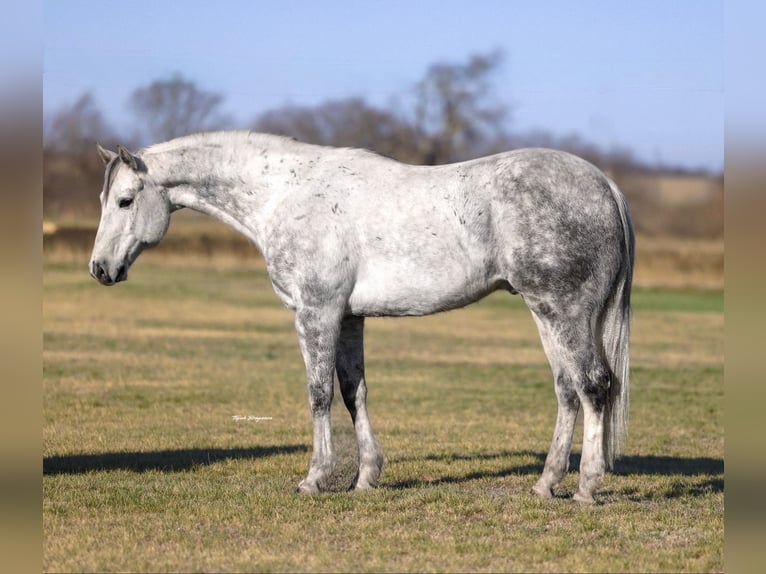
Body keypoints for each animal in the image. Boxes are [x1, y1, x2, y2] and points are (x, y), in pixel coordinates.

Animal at [90, 131, 633, 503]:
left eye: (125, 200)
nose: (100, 269)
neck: (285, 194)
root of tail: (605, 185)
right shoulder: (349, 318)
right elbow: (355, 393)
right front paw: (366, 476)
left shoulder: (317, 311)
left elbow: (319, 394)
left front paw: (315, 478)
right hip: (545, 313)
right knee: (567, 389)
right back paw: (545, 484)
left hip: (563, 311)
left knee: (594, 384)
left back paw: (586, 487)